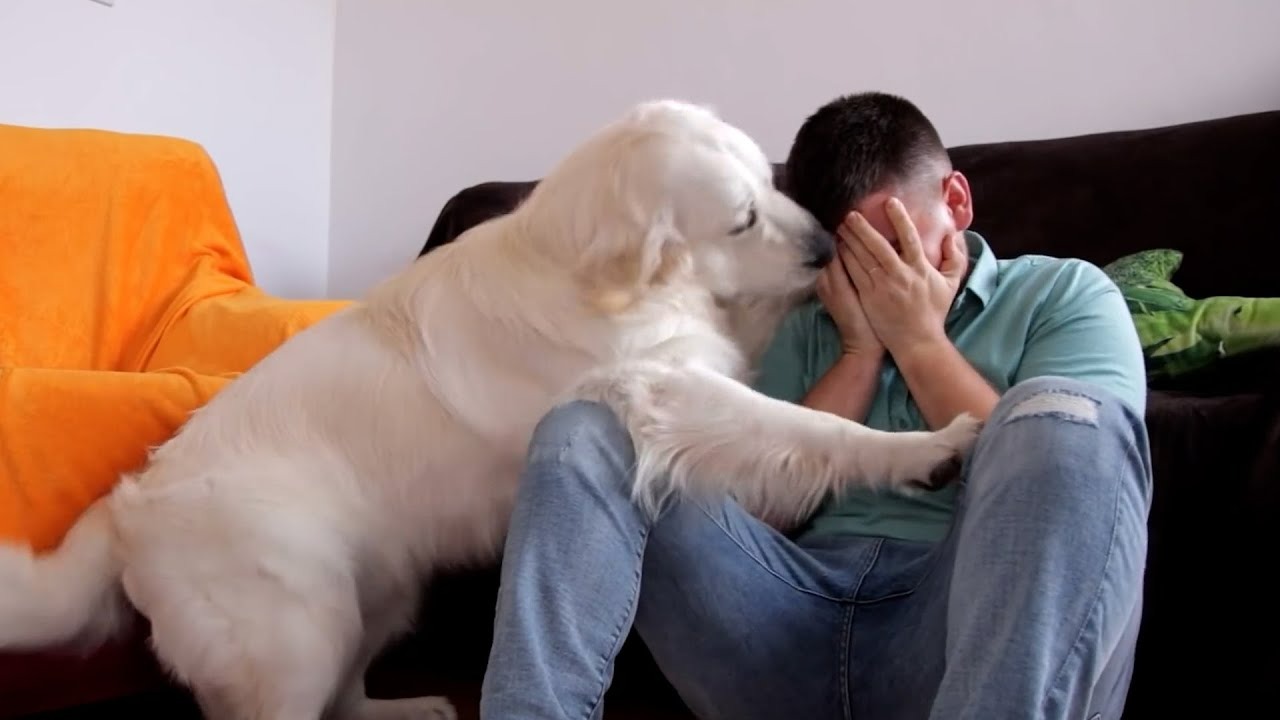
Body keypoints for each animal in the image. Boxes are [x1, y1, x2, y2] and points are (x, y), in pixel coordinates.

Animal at [0, 99, 980, 720]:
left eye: (770, 186)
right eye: (741, 217)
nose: (824, 246)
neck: (593, 272)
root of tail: (130, 505)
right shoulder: (668, 392)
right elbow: (811, 427)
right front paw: (928, 446)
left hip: (378, 597)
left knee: (345, 698)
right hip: (296, 629)